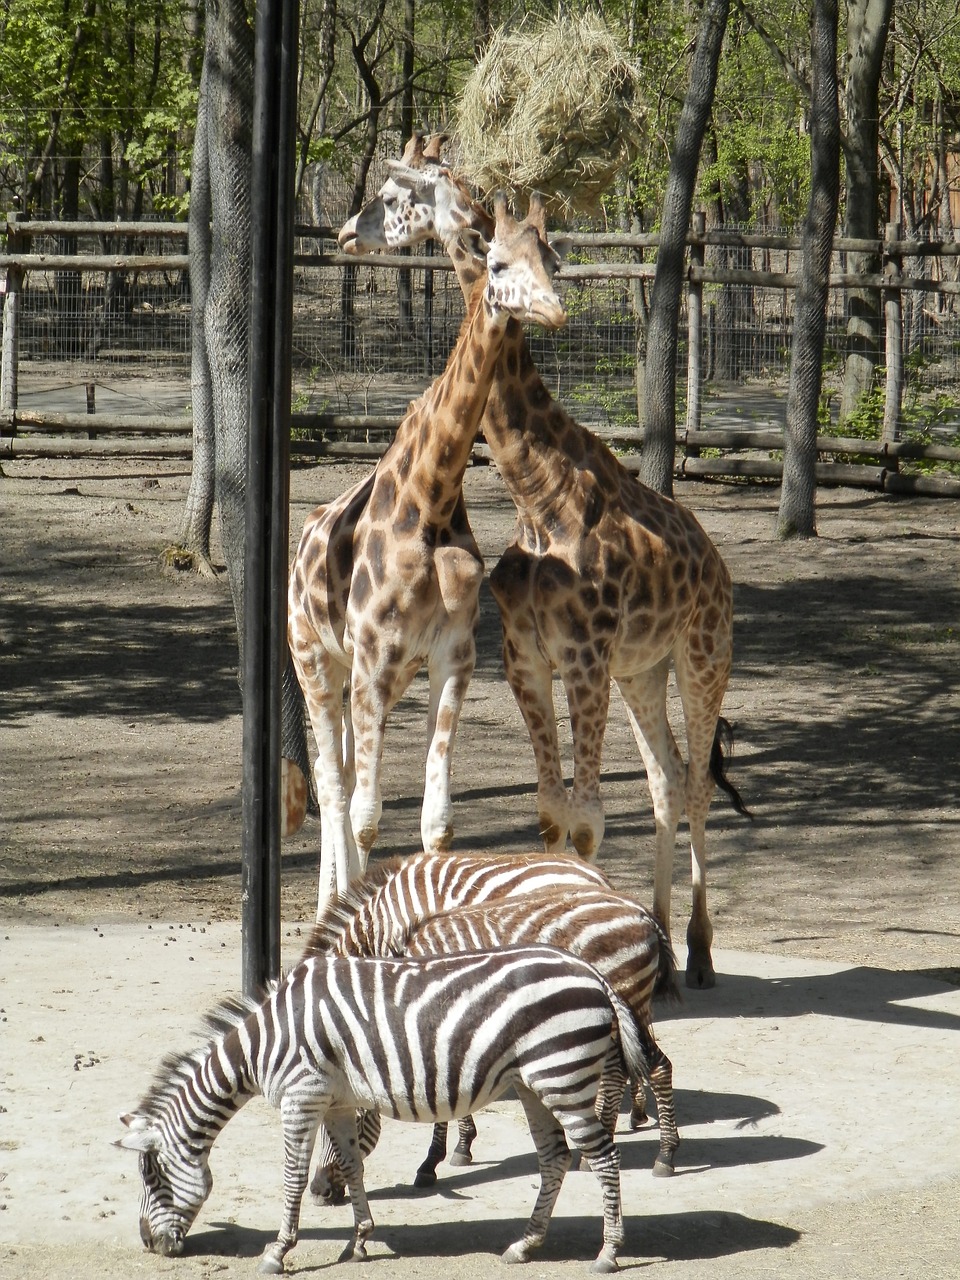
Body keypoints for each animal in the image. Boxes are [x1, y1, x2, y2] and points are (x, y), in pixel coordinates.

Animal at [116, 947, 650, 1274]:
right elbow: (351, 1165)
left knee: (604, 1158)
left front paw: (277, 1251)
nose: (147, 1244)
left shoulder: (301, 1097)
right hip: (535, 1085)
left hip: (563, 1076)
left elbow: (292, 1176)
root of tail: (593, 973)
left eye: (149, 1174)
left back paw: (608, 1252)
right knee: (555, 1157)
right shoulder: (335, 1101)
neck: (262, 1044)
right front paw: (359, 1242)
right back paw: (524, 1244)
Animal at [289, 189, 568, 921]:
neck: (431, 501)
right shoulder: (372, 661)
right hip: (315, 663)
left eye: (553, 259)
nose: (555, 309)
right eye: (497, 262)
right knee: (333, 786)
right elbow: (366, 815)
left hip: (366, 676)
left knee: (341, 772)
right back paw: (330, 908)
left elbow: (436, 820)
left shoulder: (451, 659)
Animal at [304, 860, 680, 1198]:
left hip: (628, 1000)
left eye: (352, 1126)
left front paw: (433, 1161)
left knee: (656, 1066)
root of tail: (642, 913)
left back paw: (665, 1156)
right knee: (622, 1070)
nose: (319, 1192)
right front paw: (457, 1147)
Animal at [337, 135, 752, 983]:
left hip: (703, 656)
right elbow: (553, 812)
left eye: (555, 257)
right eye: (496, 258)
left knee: (696, 785)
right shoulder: (529, 654)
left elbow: (588, 817)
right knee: (665, 782)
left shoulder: (583, 655)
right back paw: (663, 947)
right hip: (642, 670)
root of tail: (718, 565)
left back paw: (697, 953)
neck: (538, 490)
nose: (343, 233)